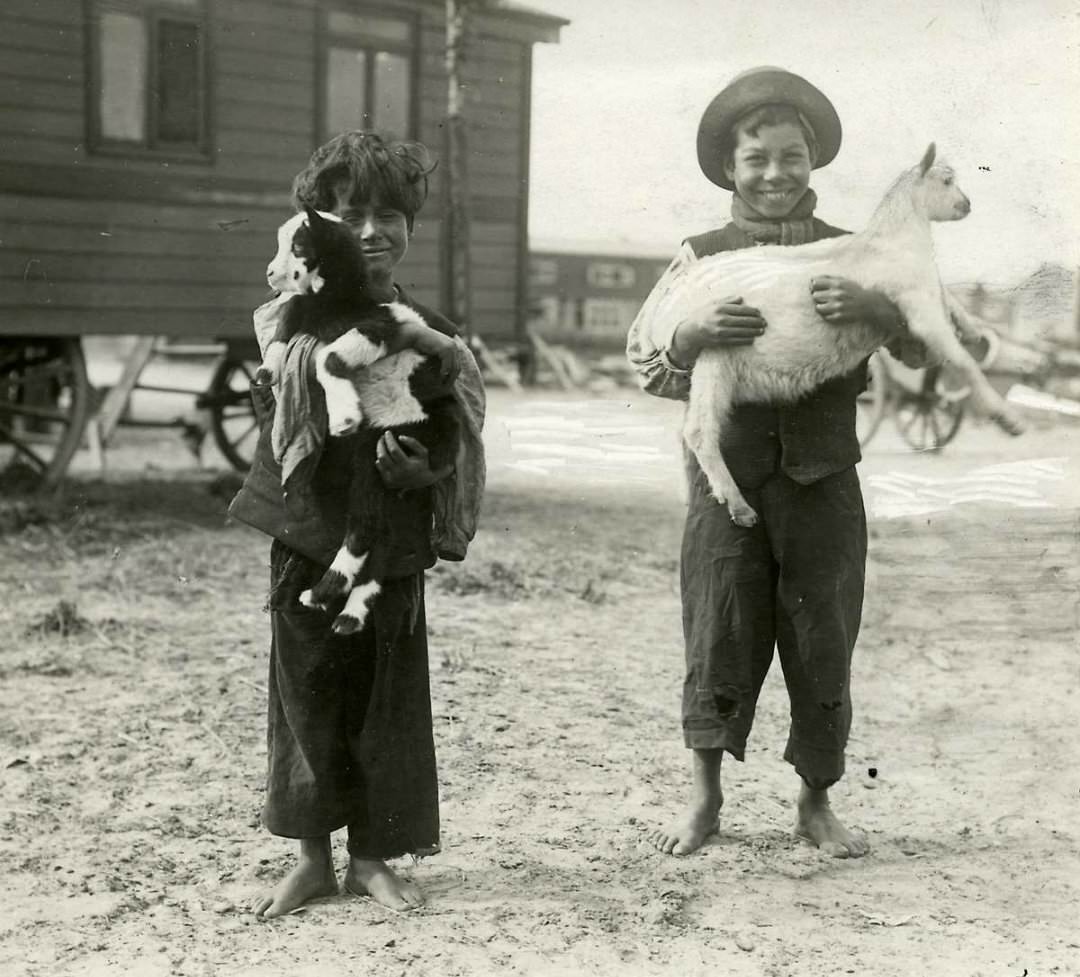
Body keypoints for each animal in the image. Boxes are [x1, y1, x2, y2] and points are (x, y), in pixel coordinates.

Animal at [652, 142, 1023, 526]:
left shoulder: (926, 293)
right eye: (947, 181)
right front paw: (1007, 418)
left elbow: (950, 300)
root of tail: (668, 303)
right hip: (717, 347)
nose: (967, 204)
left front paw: (975, 329)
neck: (892, 241)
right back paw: (738, 505)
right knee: (698, 430)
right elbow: (963, 361)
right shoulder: (918, 307)